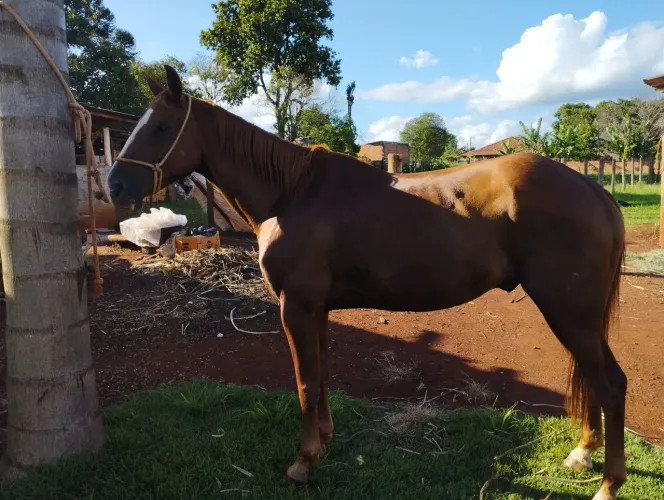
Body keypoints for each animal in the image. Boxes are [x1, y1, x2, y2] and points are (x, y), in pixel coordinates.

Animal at [107, 66, 627, 500]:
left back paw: (608, 485)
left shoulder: (296, 306)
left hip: (569, 311)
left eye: (159, 127)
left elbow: (304, 381)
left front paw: (303, 463)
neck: (292, 193)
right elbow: (319, 377)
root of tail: (593, 190)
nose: (115, 186)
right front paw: (324, 439)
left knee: (612, 383)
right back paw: (583, 454)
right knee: (594, 378)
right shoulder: (315, 309)